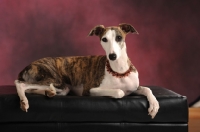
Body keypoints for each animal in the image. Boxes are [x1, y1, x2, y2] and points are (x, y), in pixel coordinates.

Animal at [14, 23, 159, 118]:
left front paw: (154, 105)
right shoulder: (90, 89)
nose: (112, 56)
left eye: (119, 38)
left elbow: (147, 89)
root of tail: (26, 67)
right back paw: (24, 101)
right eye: (104, 39)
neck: (119, 71)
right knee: (20, 83)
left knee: (35, 89)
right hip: (56, 80)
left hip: (62, 88)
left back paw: (48, 92)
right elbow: (119, 92)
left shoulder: (134, 87)